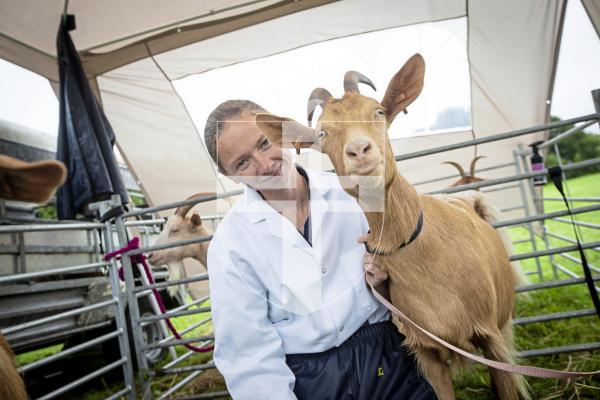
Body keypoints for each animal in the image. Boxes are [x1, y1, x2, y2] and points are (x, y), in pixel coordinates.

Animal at [255, 54, 528, 400]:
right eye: (322, 134)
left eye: (380, 111)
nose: (359, 150)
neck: (423, 252)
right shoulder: (425, 351)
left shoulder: (492, 339)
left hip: (504, 321)